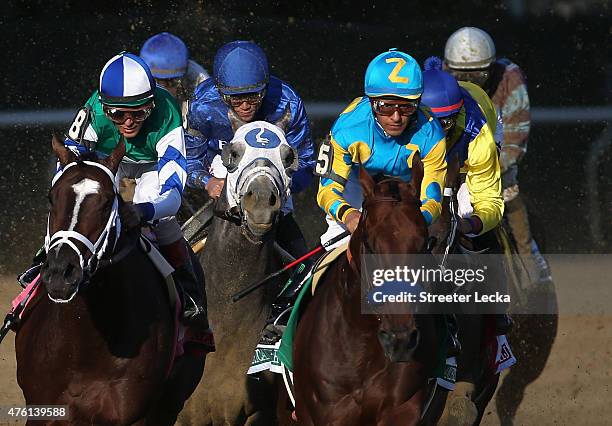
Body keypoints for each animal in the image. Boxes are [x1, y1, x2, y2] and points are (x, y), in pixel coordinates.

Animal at [15, 136, 203, 426]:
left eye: (106, 204)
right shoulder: (42, 410)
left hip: (173, 400)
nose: (60, 273)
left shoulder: (133, 416)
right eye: (51, 198)